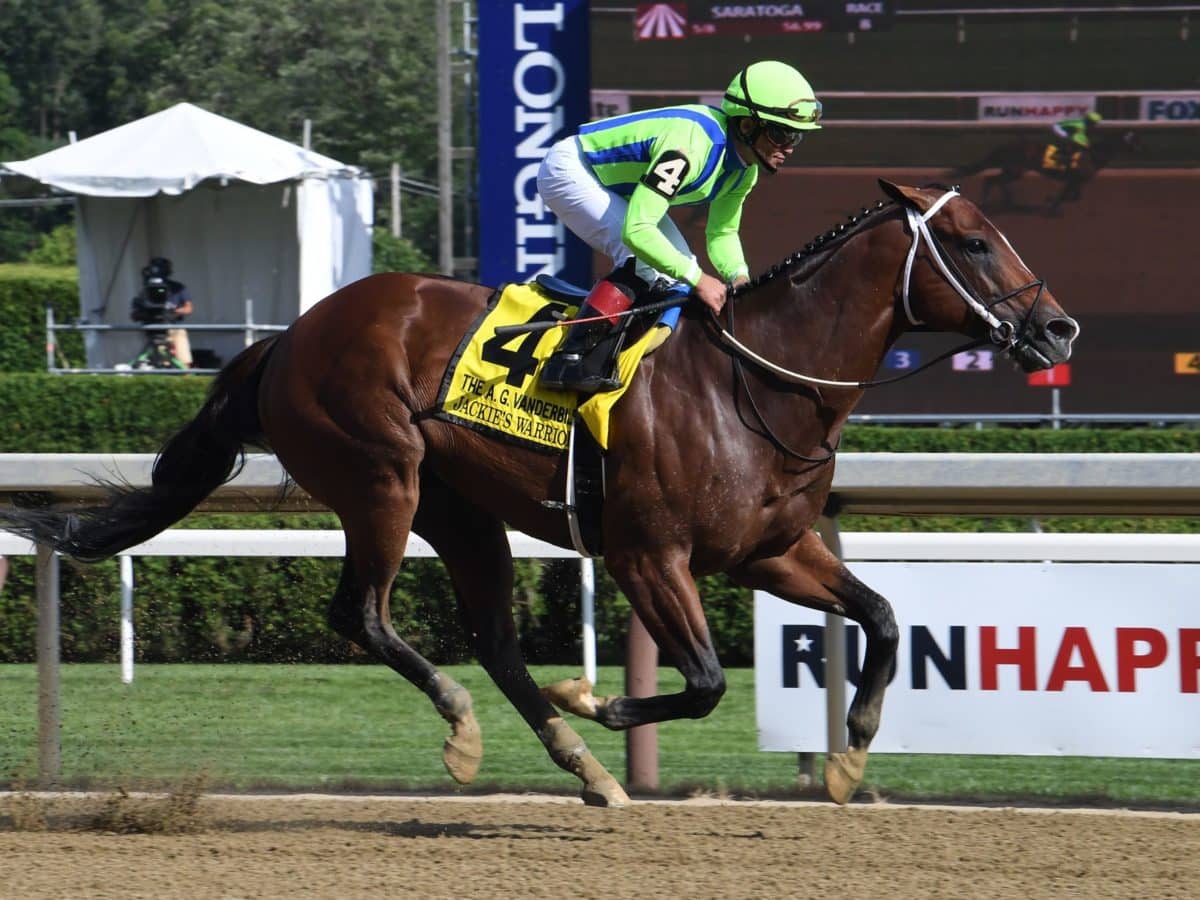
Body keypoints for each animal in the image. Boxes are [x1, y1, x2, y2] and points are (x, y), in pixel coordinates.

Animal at [0, 183, 1080, 811]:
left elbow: (885, 614)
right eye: (974, 244)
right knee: (365, 614)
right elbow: (704, 682)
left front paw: (852, 753)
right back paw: (471, 730)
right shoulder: (649, 554)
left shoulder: (769, 550)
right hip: (381, 477)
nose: (1059, 328)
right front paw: (594, 695)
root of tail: (287, 337)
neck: (754, 382)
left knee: (492, 640)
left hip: (462, 509)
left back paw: (585, 771)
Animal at [955, 129, 1142, 213]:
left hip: (1013, 170)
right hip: (1014, 170)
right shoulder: (1073, 180)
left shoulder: (1075, 181)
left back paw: (1009, 202)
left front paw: (1052, 201)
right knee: (991, 180)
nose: (1140, 149)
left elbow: (1074, 196)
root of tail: (1005, 146)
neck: (1092, 155)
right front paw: (1051, 202)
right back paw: (986, 202)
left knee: (996, 181)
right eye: (1133, 140)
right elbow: (1067, 196)